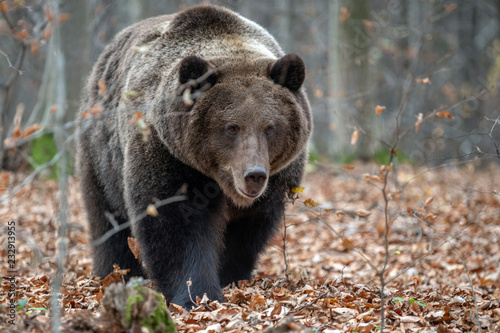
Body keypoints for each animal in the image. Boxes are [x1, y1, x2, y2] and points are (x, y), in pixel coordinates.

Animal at [76, 3, 310, 308]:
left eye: (270, 127)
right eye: (231, 127)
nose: (254, 175)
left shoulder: (276, 181)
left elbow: (248, 232)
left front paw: (231, 277)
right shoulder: (169, 156)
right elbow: (176, 223)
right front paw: (196, 293)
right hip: (101, 155)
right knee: (108, 220)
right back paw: (117, 273)